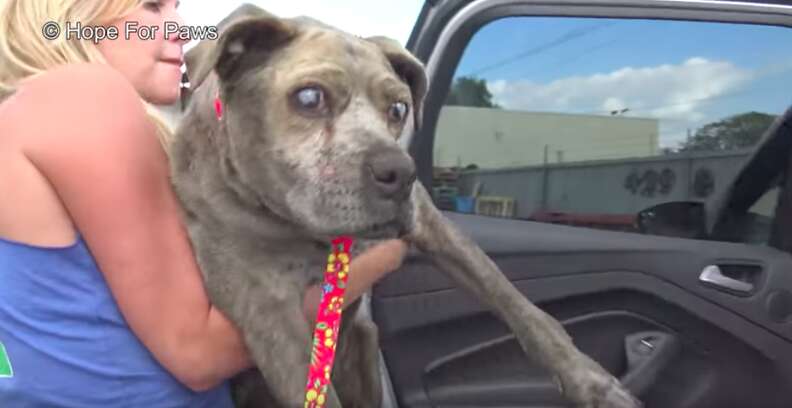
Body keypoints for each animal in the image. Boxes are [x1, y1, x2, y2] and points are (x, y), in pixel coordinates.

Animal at [169, 3, 644, 408]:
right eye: (309, 98)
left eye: (398, 108)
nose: (400, 172)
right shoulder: (265, 310)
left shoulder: (435, 227)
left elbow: (519, 305)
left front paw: (591, 382)